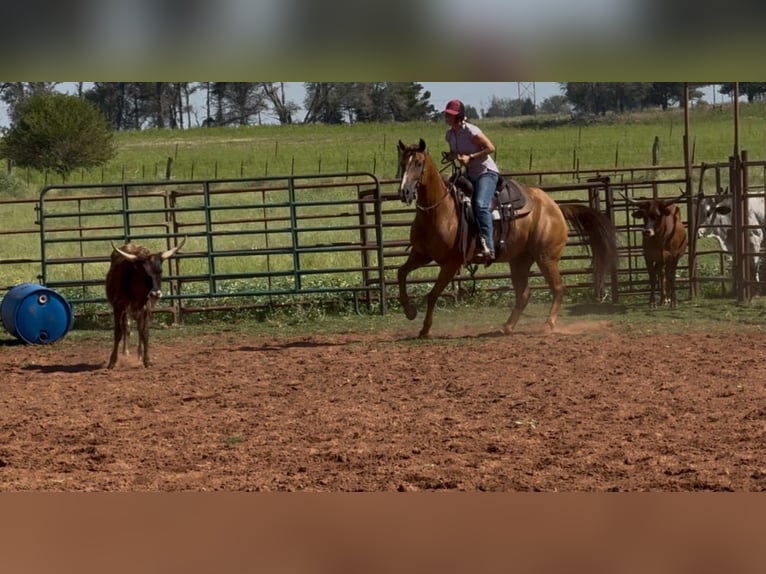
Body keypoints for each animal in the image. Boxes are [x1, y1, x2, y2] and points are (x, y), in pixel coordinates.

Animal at [396, 138, 618, 338]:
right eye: (402, 163)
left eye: (418, 163)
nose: (405, 192)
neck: (440, 210)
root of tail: (556, 208)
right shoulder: (421, 254)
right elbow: (401, 273)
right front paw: (409, 311)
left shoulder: (451, 263)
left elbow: (432, 294)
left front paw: (425, 329)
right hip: (519, 260)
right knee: (524, 294)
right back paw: (507, 327)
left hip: (546, 258)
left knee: (558, 288)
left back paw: (548, 325)